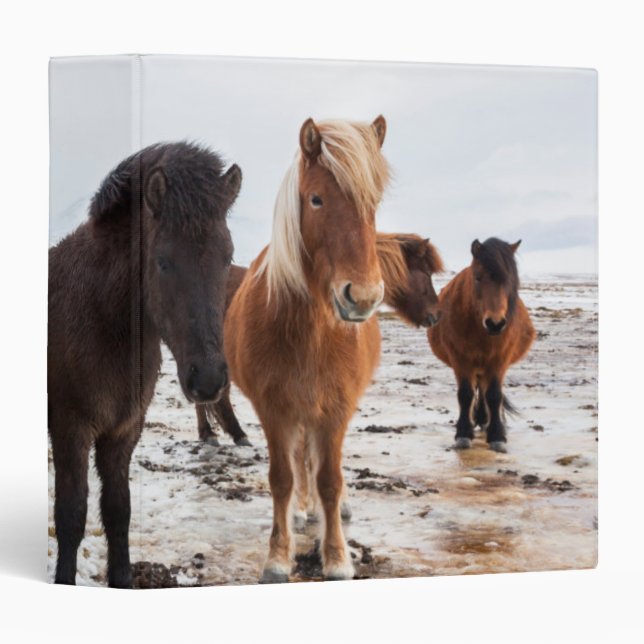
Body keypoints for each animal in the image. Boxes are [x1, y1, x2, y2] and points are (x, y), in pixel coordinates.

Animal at [48, 142, 241, 587]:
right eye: (163, 262)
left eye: (228, 257)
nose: (209, 379)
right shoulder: (69, 429)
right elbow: (71, 515)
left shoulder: (123, 432)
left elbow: (118, 512)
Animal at [224, 116, 390, 582]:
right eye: (316, 199)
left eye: (374, 202)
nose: (362, 297)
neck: (311, 333)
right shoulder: (274, 408)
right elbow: (283, 478)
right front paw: (278, 557)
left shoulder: (335, 409)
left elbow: (329, 480)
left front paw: (336, 558)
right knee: (301, 464)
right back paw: (301, 509)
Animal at [427, 237, 535, 453]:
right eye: (477, 277)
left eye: (510, 280)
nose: (495, 323)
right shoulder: (460, 359)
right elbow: (465, 394)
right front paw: (463, 434)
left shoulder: (499, 360)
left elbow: (494, 395)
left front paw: (497, 436)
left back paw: (484, 420)